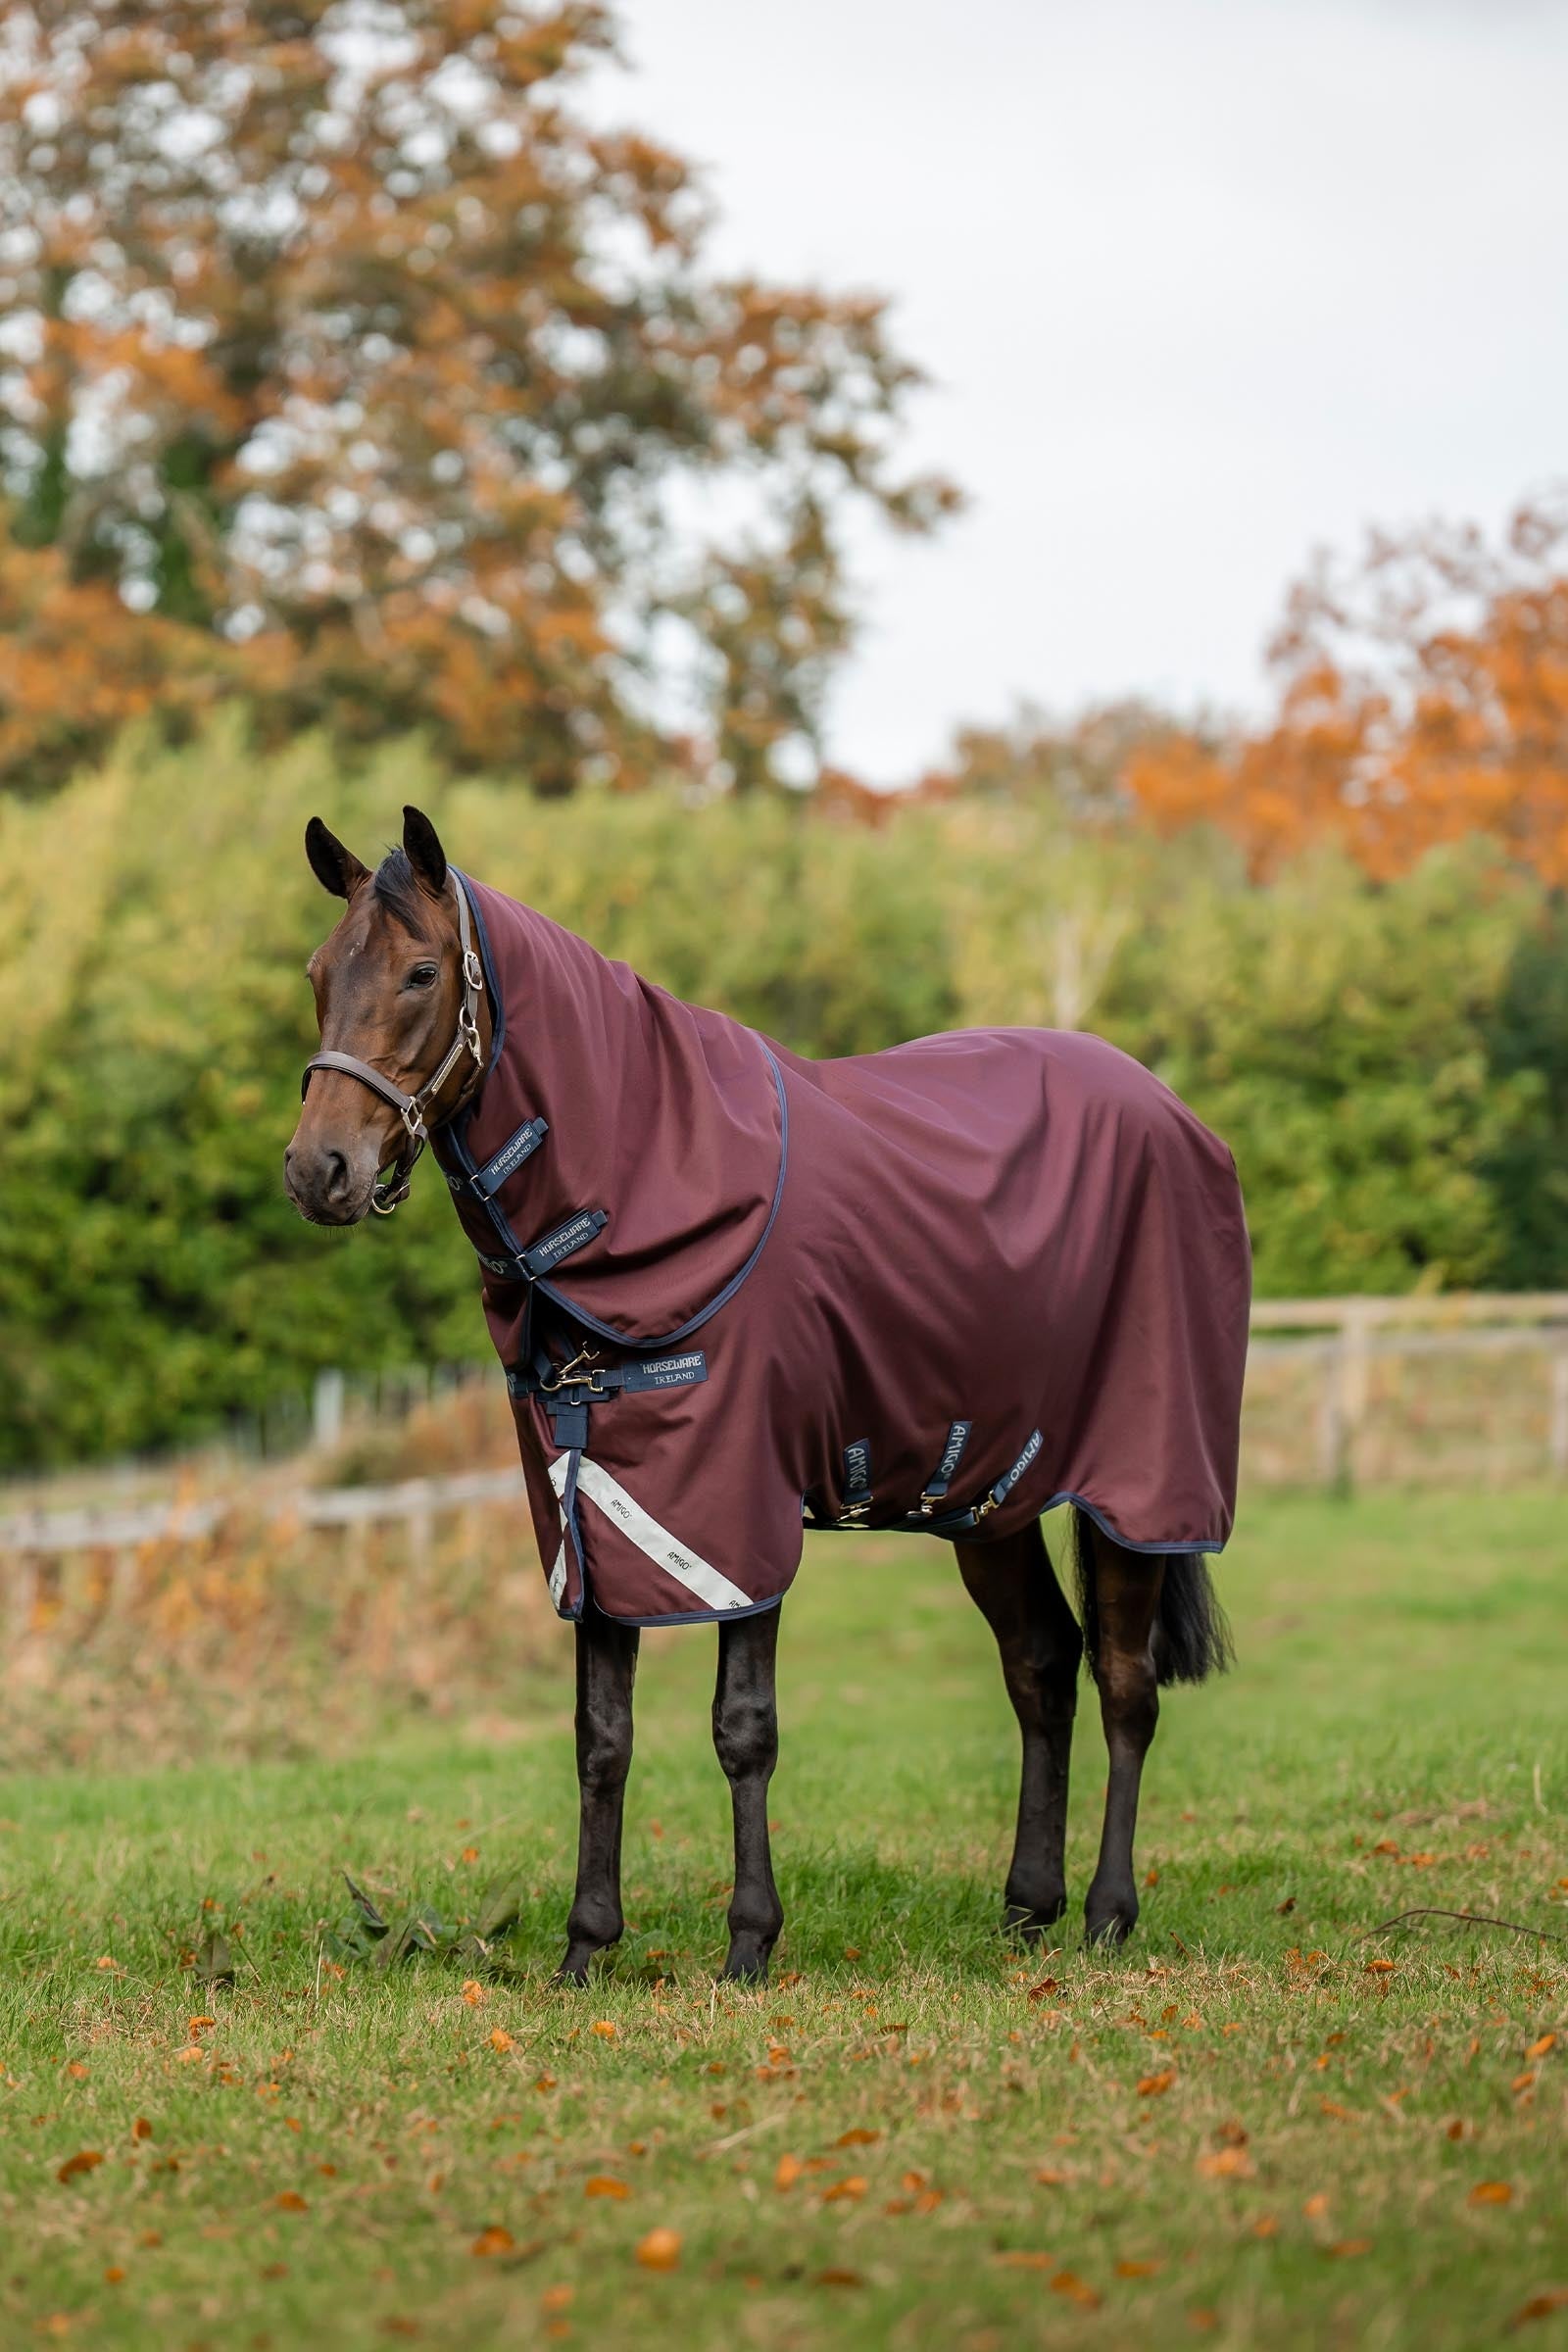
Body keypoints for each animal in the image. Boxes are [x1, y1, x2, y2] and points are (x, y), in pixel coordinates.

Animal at [285, 806, 1250, 1983]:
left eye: (422, 971)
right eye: (320, 972)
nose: (317, 1170)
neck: (651, 1182)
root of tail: (1172, 1111)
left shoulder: (734, 1510)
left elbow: (742, 1726)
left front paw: (749, 1942)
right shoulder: (592, 1510)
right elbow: (601, 1737)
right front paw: (584, 1948)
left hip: (1138, 1481)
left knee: (1122, 1680)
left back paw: (1110, 1915)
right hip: (988, 1492)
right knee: (1040, 1665)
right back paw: (1029, 1908)